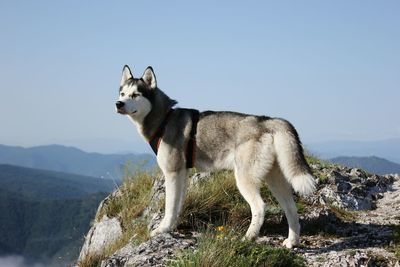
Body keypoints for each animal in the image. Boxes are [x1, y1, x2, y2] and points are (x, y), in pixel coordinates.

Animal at [115, 65, 316, 249]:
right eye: (122, 93)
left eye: (135, 95)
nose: (118, 104)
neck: (164, 119)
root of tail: (268, 121)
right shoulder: (182, 174)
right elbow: (178, 205)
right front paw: (174, 226)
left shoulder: (171, 173)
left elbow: (169, 207)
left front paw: (162, 229)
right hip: (275, 179)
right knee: (291, 208)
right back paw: (292, 241)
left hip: (244, 179)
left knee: (260, 207)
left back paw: (248, 237)